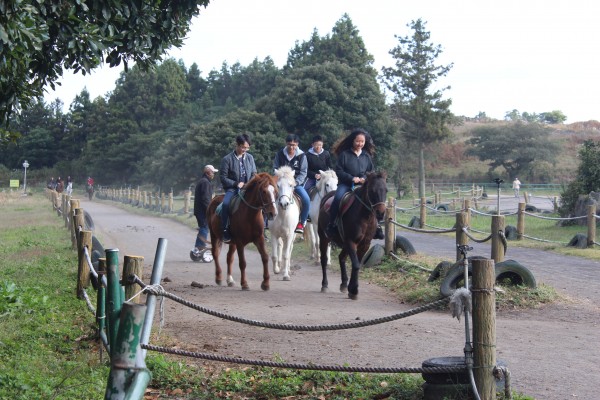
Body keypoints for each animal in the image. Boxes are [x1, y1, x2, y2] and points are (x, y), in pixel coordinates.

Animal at [317, 171, 388, 300]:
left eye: (386, 190)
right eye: (372, 190)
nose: (380, 213)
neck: (364, 217)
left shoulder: (364, 244)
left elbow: (357, 264)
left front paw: (351, 288)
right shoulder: (351, 241)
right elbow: (355, 265)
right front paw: (354, 290)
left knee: (341, 258)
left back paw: (344, 284)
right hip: (324, 238)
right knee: (324, 260)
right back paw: (324, 285)